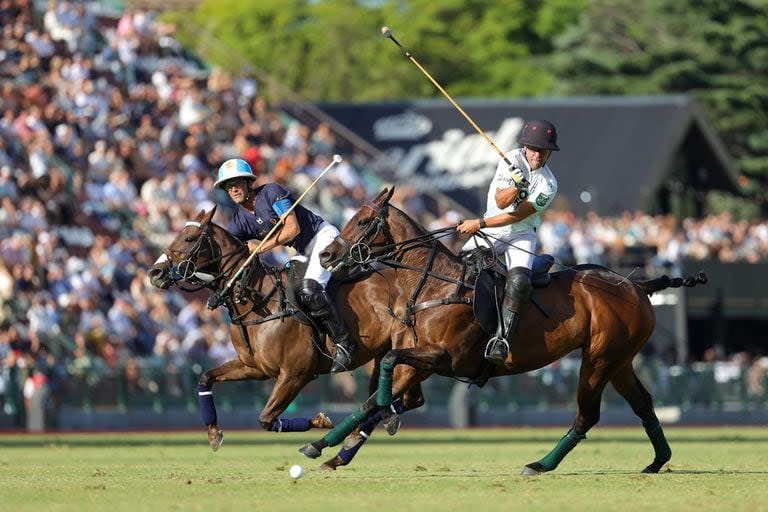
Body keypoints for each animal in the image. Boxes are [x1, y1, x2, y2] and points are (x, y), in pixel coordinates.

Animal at [148, 205, 426, 468]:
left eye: (189, 238)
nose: (155, 273)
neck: (260, 300)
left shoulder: (295, 374)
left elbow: (266, 418)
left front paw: (321, 421)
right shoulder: (255, 367)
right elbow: (206, 378)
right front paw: (214, 434)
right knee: (407, 399)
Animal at [300, 189, 708, 476]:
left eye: (364, 221)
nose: (326, 256)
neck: (432, 287)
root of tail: (636, 285)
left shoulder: (441, 358)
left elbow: (384, 370)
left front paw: (380, 420)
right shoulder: (420, 364)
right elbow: (371, 400)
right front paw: (324, 447)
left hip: (598, 359)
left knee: (587, 416)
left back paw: (540, 464)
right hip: (620, 360)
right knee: (644, 404)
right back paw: (658, 461)